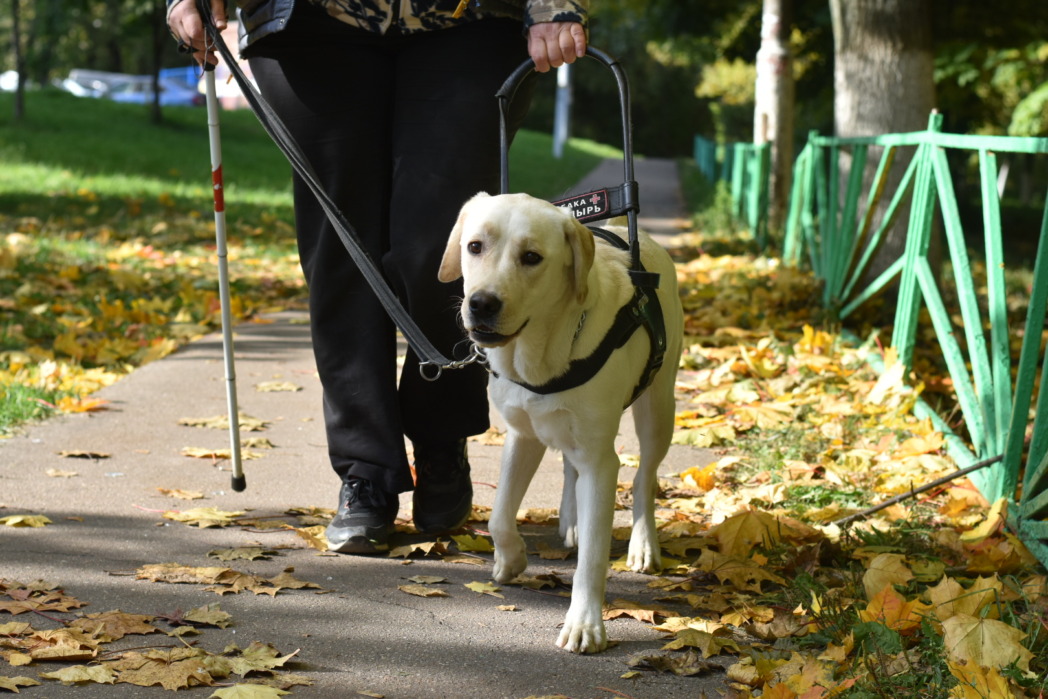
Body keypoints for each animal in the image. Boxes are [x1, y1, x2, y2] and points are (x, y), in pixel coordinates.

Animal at [438, 192, 683, 658]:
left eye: (532, 257)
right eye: (475, 246)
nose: (481, 303)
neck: (542, 352)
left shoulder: (602, 463)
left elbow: (594, 556)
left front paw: (584, 624)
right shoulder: (521, 436)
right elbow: (499, 516)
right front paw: (511, 559)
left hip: (658, 408)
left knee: (644, 477)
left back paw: (643, 543)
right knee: (571, 469)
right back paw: (571, 519)